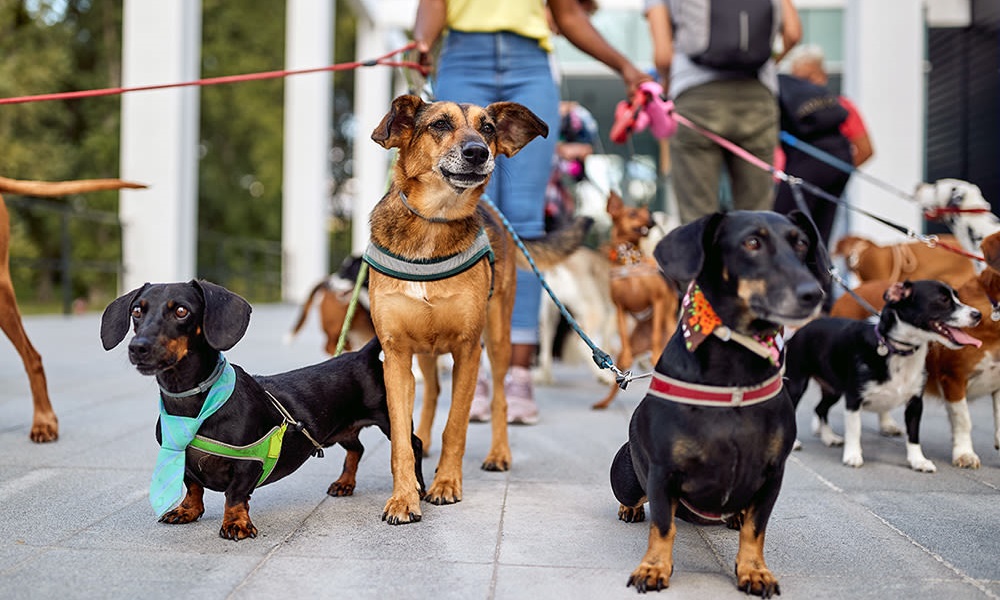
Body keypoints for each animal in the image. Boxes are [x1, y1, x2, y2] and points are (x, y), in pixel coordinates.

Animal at [366, 94, 584, 524]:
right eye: (439, 124)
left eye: (488, 128)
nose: (478, 152)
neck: (433, 222)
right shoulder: (396, 354)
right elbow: (400, 437)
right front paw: (403, 497)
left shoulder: (468, 350)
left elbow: (457, 426)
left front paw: (446, 484)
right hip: (425, 351)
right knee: (432, 390)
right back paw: (424, 438)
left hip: (498, 339)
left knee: (498, 396)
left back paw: (499, 453)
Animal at [592, 192, 680, 408]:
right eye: (632, 213)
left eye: (646, 213)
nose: (652, 219)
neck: (629, 260)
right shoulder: (620, 308)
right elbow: (623, 333)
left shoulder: (658, 301)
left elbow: (656, 330)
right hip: (632, 349)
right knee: (619, 378)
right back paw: (604, 402)